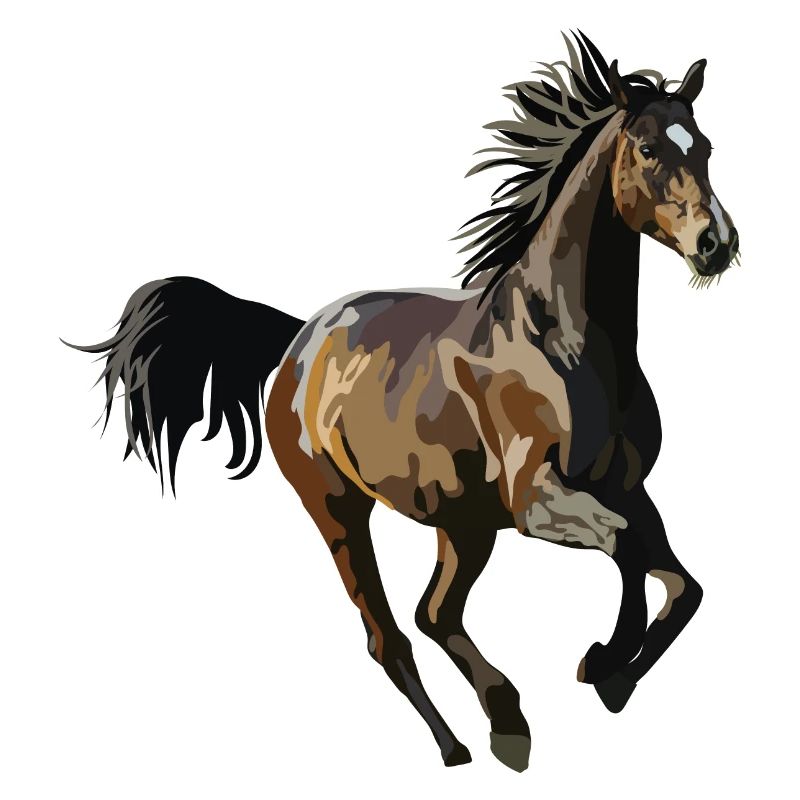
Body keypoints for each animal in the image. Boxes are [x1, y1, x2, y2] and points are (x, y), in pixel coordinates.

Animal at [65, 32, 739, 772]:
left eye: (705, 146)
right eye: (647, 148)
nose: (716, 244)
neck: (564, 342)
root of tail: (297, 340)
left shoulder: (626, 487)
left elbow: (681, 583)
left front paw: (613, 675)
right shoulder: (537, 500)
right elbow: (625, 550)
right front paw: (604, 662)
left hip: (462, 522)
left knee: (434, 614)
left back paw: (507, 723)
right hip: (340, 511)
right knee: (390, 636)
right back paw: (460, 745)